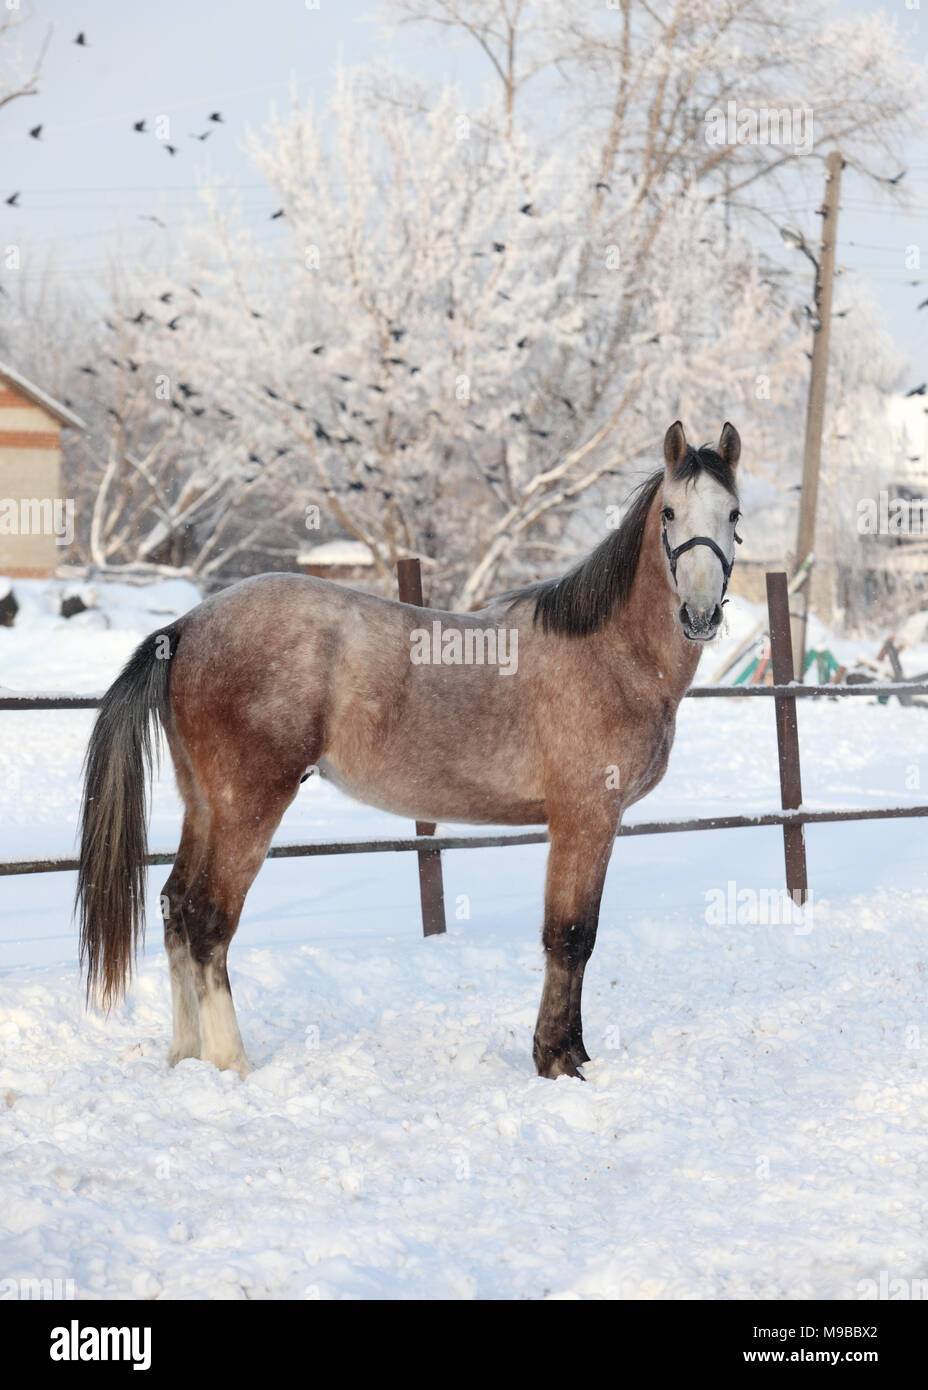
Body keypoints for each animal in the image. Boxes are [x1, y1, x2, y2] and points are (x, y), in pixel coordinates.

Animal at [77, 417, 744, 1078]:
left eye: (734, 514)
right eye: (670, 513)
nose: (700, 614)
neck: (610, 655)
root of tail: (185, 626)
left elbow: (580, 935)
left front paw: (568, 1051)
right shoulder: (586, 816)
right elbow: (571, 936)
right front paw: (559, 1059)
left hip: (204, 804)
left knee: (173, 910)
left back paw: (185, 1057)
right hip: (248, 805)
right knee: (207, 921)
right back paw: (230, 1064)